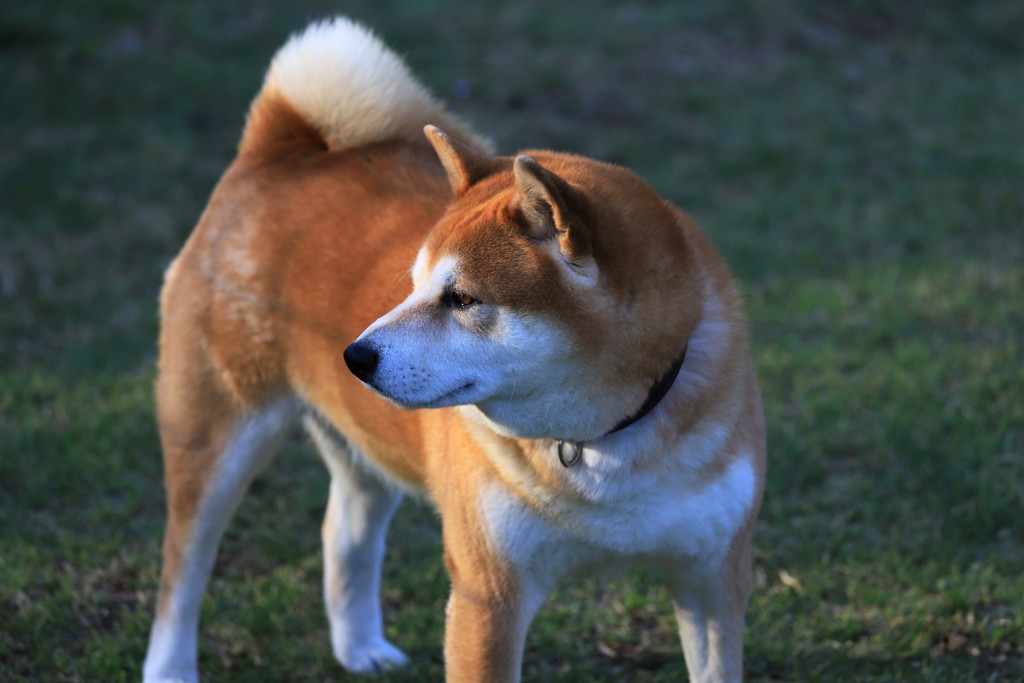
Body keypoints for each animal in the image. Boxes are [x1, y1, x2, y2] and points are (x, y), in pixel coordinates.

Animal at [146, 14, 770, 683]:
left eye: (464, 299)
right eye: (414, 283)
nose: (354, 356)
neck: (603, 438)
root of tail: (281, 147)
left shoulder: (714, 578)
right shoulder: (488, 592)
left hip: (361, 442)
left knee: (344, 534)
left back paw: (360, 647)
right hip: (215, 433)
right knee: (181, 570)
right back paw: (170, 665)